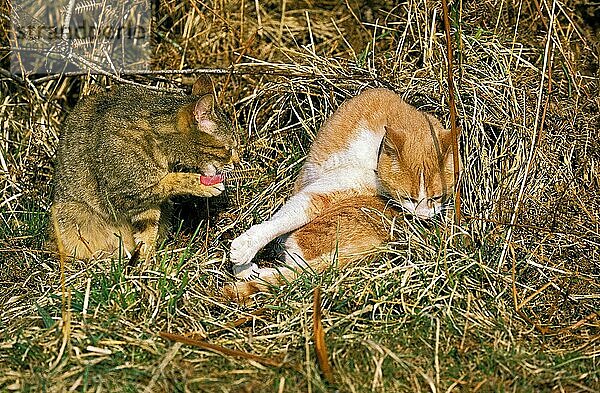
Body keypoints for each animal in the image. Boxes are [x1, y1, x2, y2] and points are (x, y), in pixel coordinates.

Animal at [226, 87, 460, 298]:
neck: (372, 157)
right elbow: (283, 220)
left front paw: (245, 262)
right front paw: (246, 252)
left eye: (437, 198)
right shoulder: (321, 187)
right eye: (408, 198)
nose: (423, 219)